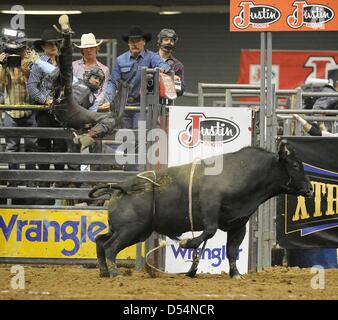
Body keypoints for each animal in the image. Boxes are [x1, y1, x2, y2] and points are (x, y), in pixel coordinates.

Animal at [89, 140, 312, 278]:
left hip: (132, 230)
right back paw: (115, 273)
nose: (309, 189)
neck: (244, 172)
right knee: (110, 247)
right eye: (295, 165)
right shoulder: (209, 204)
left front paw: (235, 274)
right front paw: (187, 244)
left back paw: (104, 271)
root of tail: (122, 186)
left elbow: (232, 250)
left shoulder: (238, 224)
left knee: (100, 241)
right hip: (131, 229)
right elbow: (210, 230)